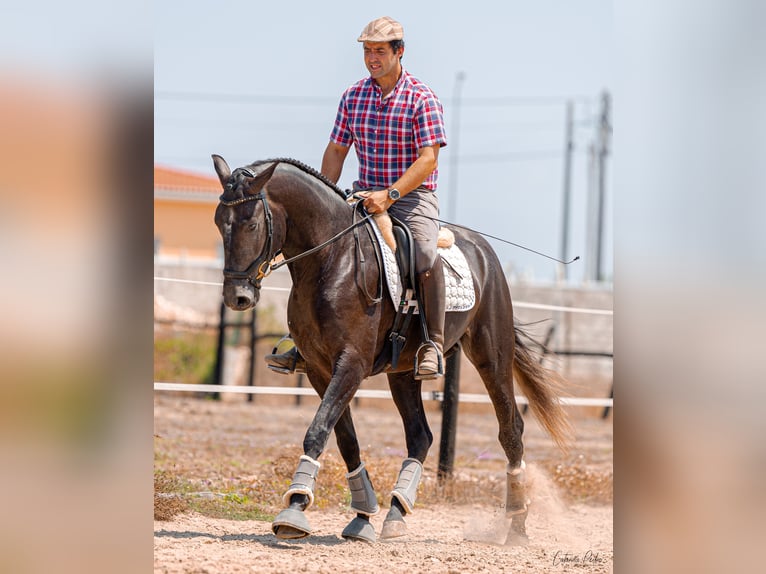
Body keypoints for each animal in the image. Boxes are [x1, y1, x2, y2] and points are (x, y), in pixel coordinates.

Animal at [213, 155, 572, 548]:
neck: (331, 259)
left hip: (491, 356)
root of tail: (483, 251)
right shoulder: (321, 370)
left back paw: (517, 527)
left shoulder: (351, 364)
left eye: (252, 223)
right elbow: (345, 439)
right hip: (402, 373)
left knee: (511, 430)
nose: (237, 297)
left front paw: (293, 509)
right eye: (218, 222)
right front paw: (361, 515)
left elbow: (318, 429)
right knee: (420, 436)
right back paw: (397, 514)